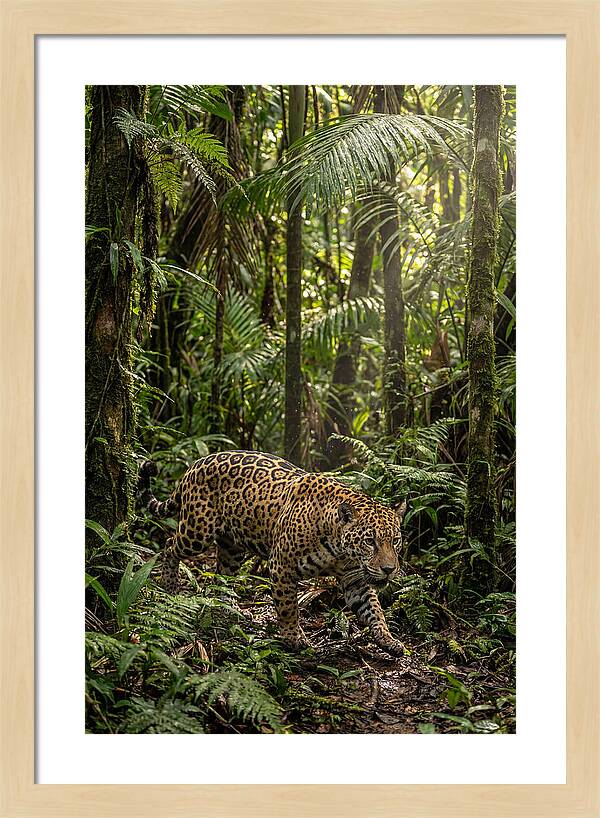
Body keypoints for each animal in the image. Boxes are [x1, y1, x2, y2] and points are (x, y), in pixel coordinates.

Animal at [138, 450, 408, 657]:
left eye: (395, 541)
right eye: (370, 541)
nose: (389, 570)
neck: (339, 549)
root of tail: (195, 464)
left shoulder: (355, 579)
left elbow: (374, 610)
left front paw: (389, 640)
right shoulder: (282, 566)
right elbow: (288, 607)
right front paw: (294, 639)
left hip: (232, 547)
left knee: (223, 573)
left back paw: (228, 606)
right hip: (196, 531)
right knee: (169, 545)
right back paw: (170, 585)